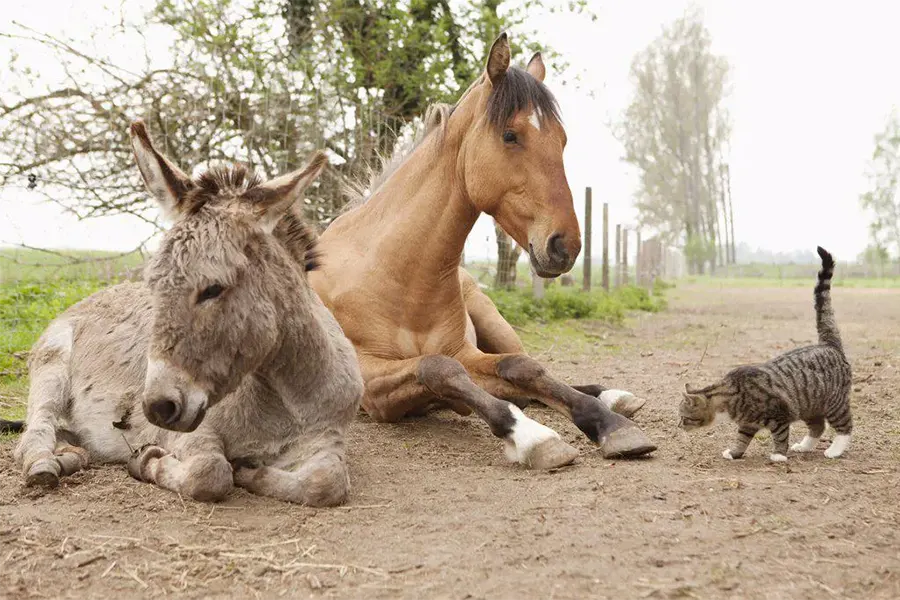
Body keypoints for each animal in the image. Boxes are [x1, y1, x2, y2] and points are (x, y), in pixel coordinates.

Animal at [13, 121, 364, 506]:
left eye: (213, 288)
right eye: (152, 285)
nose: (157, 408)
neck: (284, 400)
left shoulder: (327, 437)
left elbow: (326, 483)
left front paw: (253, 472)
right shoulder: (193, 432)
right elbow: (210, 472)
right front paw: (147, 462)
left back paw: (70, 457)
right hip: (51, 370)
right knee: (36, 429)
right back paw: (45, 465)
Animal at [309, 33, 657, 469]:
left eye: (561, 140)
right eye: (510, 135)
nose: (566, 245)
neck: (393, 273)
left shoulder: (467, 352)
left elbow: (525, 368)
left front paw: (608, 424)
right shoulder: (372, 383)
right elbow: (441, 369)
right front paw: (531, 436)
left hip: (495, 323)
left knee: (531, 368)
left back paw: (614, 397)